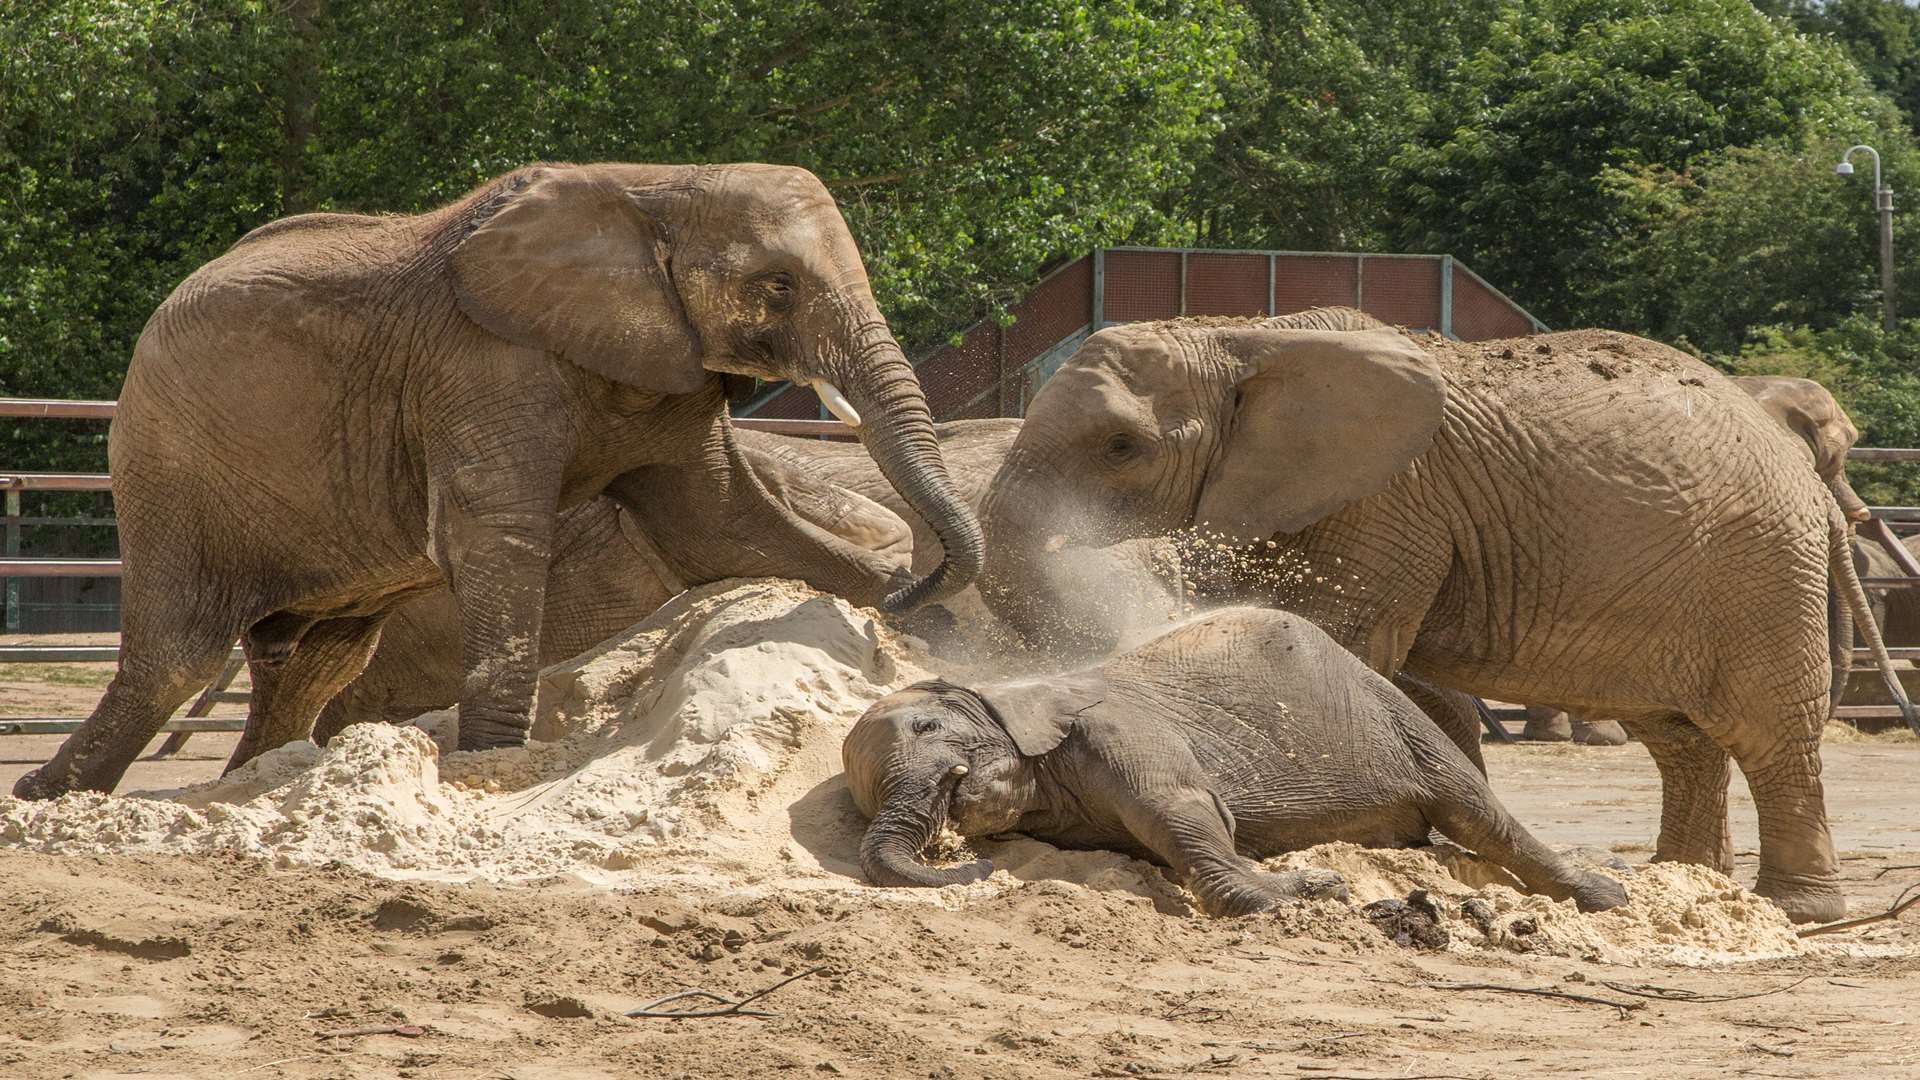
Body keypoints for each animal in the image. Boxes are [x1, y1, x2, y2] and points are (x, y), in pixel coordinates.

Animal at [848, 599, 1628, 910]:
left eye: (927, 728)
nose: (971, 862)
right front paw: (1312, 887)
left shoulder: (1123, 728)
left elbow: (1187, 813)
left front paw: (1283, 898)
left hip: (1394, 713)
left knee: (1475, 810)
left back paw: (1604, 895)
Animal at [975, 307, 1904, 922]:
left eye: (1121, 448)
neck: (1246, 335)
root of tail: (1807, 479)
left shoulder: (1386, 499)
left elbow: (1348, 641)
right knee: (1677, 735)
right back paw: (1681, 881)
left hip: (1762, 571)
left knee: (1768, 732)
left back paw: (1800, 912)